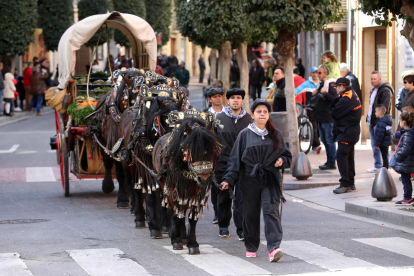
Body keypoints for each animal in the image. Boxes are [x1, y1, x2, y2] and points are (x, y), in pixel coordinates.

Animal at [152, 112, 222, 254]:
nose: (204, 178)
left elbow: (192, 217)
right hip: (163, 183)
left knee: (183, 210)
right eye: (192, 151)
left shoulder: (198, 192)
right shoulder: (176, 188)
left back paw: (183, 237)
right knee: (172, 208)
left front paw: (192, 244)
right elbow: (176, 214)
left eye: (212, 151)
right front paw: (176, 241)